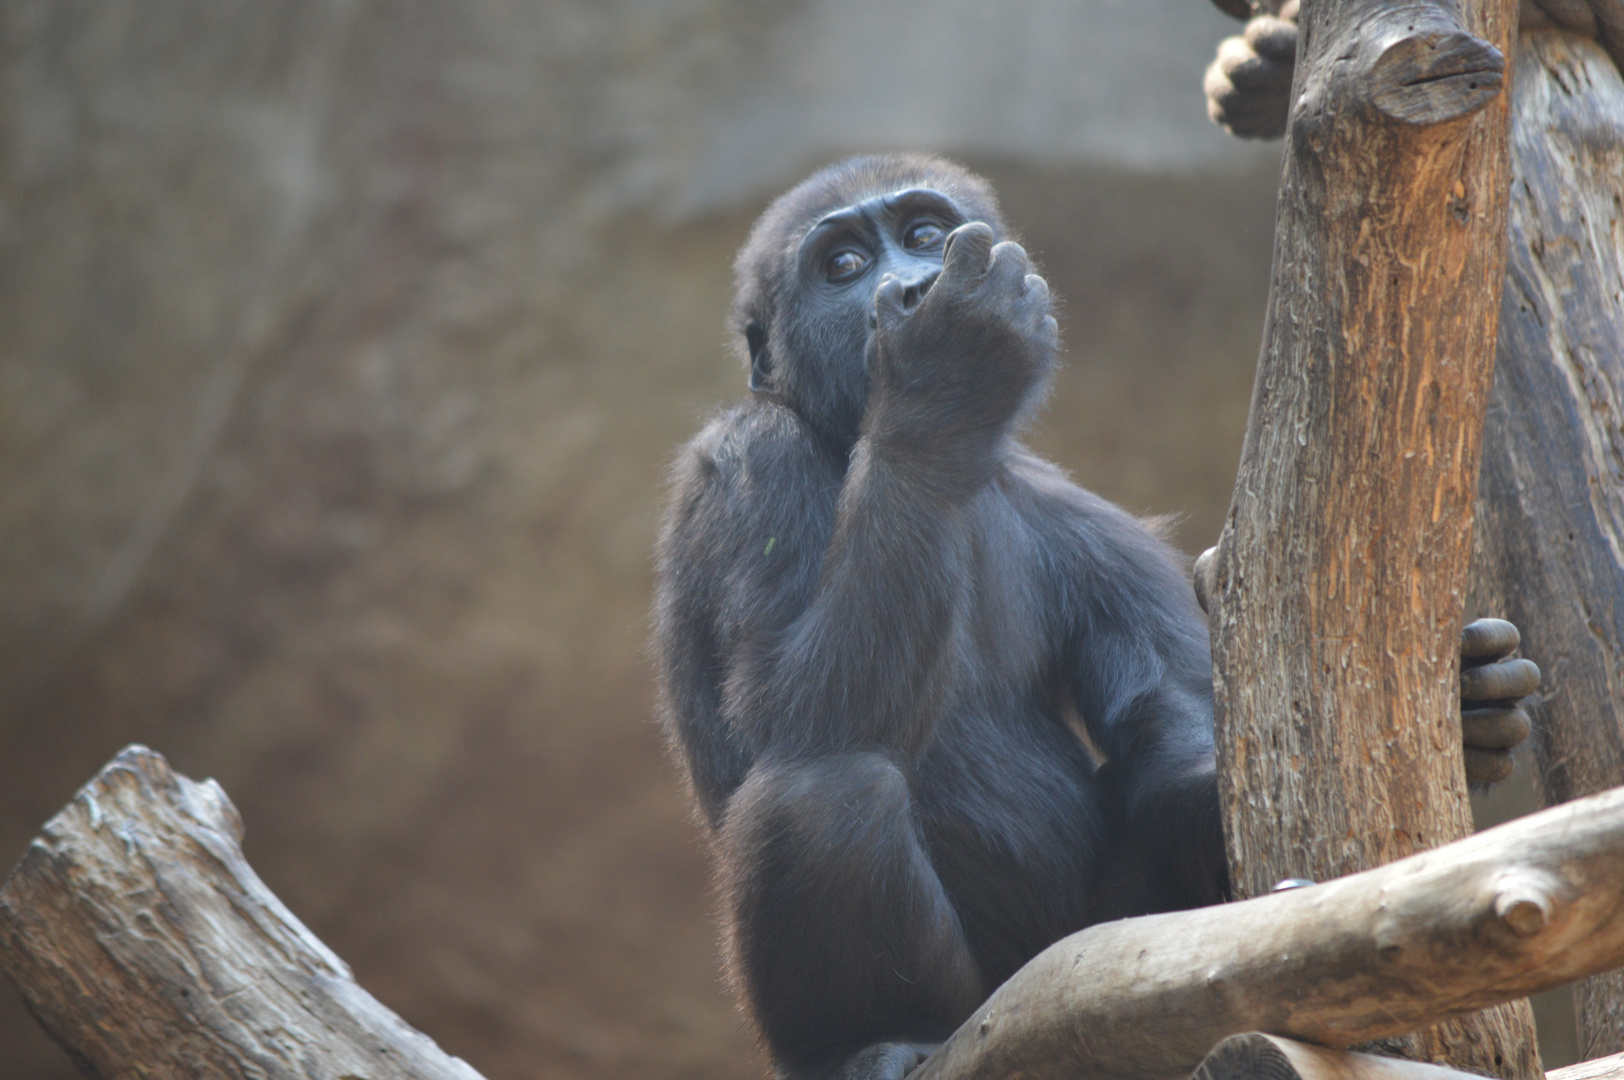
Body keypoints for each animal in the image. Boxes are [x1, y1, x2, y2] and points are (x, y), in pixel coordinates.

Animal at [649, 151, 1533, 1078]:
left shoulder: (1092, 529)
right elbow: (787, 719)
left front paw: (1470, 704)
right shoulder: (749, 462)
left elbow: (1174, 736)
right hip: (957, 1009)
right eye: (845, 266)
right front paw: (943, 379)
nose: (915, 285)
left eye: (924, 234)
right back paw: (868, 1037)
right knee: (828, 779)